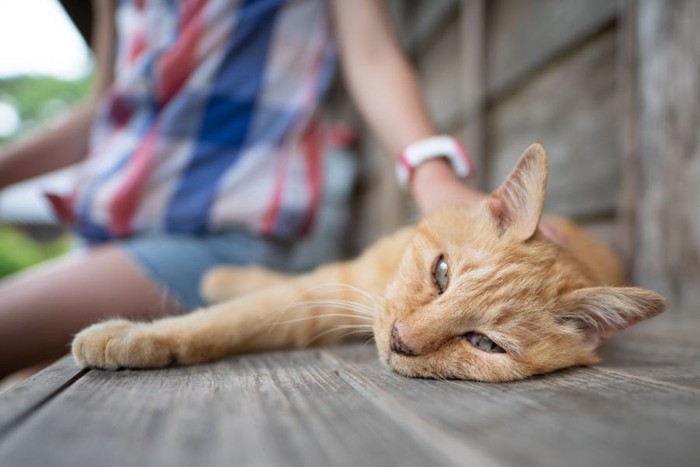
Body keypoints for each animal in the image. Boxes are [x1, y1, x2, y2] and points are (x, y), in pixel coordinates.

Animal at [71, 144, 668, 382]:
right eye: (442, 273)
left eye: (483, 343)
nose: (401, 340)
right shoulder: (328, 290)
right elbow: (236, 313)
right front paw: (141, 332)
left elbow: (234, 321)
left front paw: (131, 338)